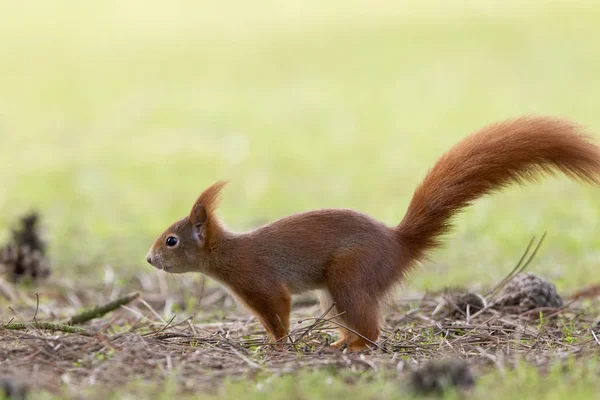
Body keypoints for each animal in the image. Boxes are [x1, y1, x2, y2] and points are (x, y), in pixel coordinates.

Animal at [144, 115, 600, 350]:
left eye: (171, 240)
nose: (149, 259)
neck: (226, 255)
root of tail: (398, 244)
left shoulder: (260, 280)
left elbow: (280, 310)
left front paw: (278, 344)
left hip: (351, 274)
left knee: (369, 326)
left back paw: (356, 347)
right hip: (332, 294)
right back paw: (339, 344)